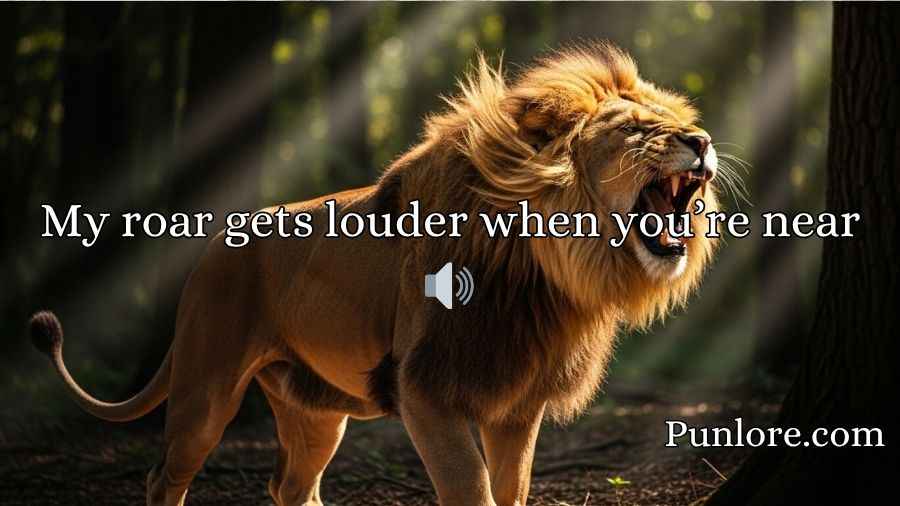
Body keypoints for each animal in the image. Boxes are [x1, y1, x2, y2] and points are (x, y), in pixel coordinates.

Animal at [30, 43, 720, 506]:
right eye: (635, 128)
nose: (703, 140)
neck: (544, 269)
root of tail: (210, 250)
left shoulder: (516, 402)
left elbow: (513, 489)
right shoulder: (426, 387)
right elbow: (470, 489)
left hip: (314, 409)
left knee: (291, 485)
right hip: (206, 387)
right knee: (166, 474)